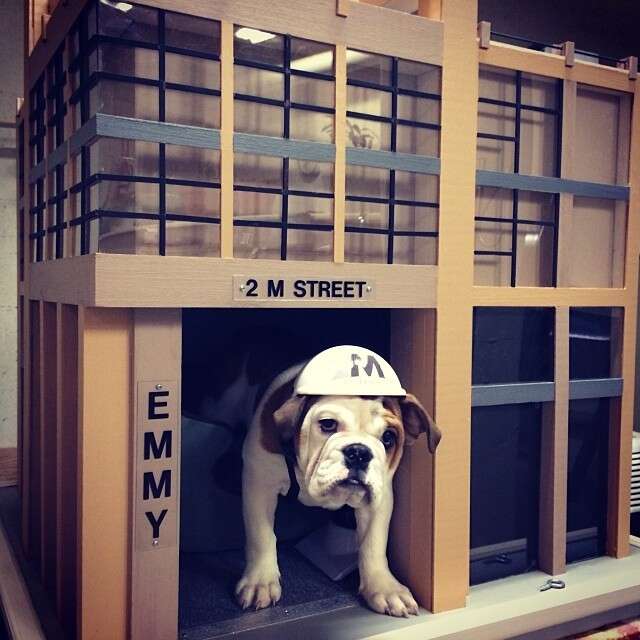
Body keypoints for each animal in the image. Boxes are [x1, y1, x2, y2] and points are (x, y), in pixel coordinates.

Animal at [235, 347, 441, 618]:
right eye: (328, 424)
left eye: (388, 437)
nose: (359, 452)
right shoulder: (259, 482)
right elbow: (261, 535)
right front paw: (260, 582)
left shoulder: (380, 497)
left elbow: (373, 543)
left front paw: (384, 587)